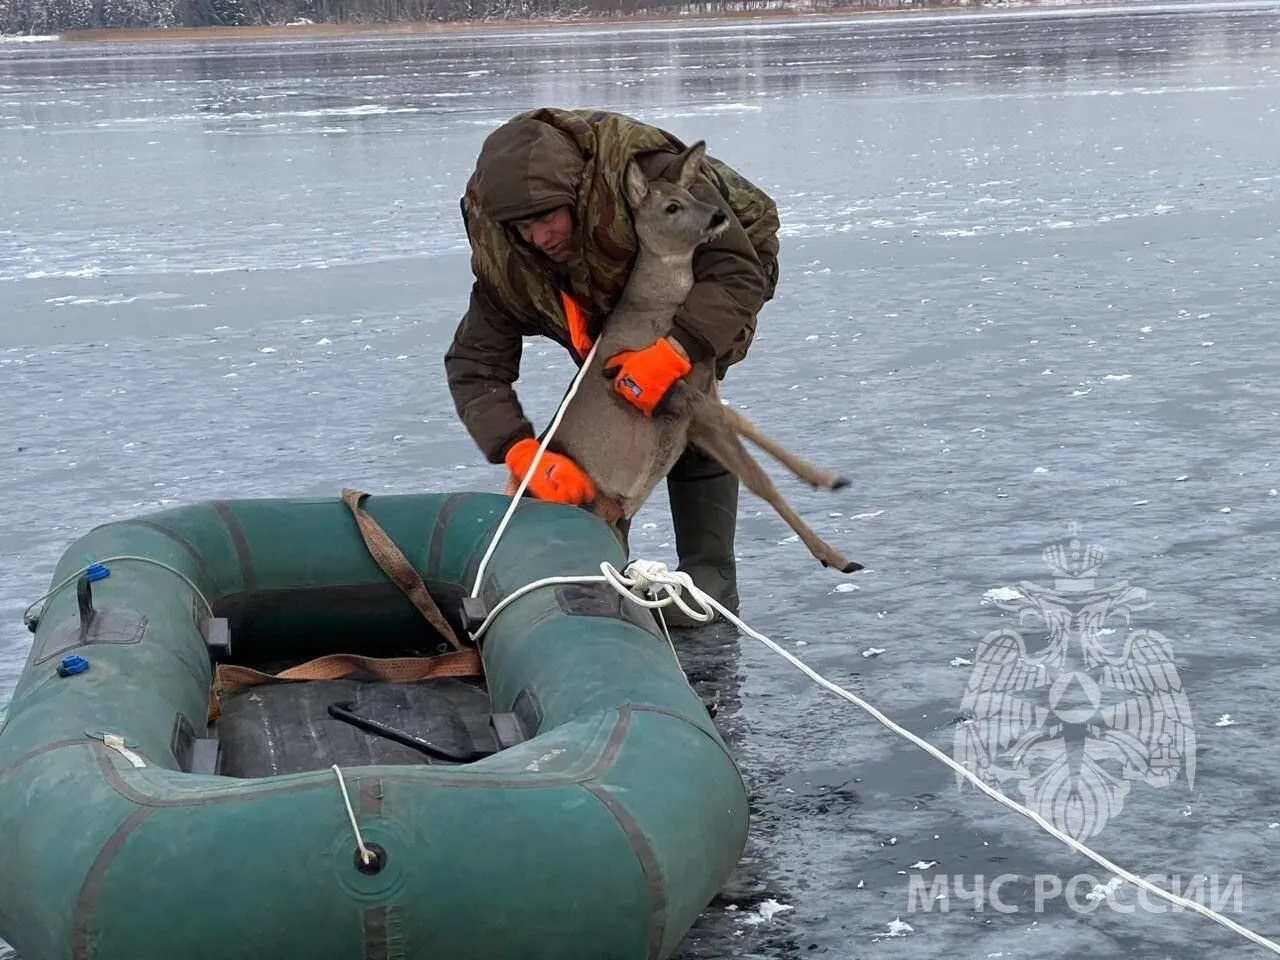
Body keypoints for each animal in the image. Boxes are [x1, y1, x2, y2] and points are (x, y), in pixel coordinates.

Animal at [542, 140, 855, 576]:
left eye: (692, 194)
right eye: (672, 206)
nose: (718, 214)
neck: (657, 311)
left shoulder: (696, 404)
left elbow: (749, 447)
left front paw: (827, 485)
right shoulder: (678, 396)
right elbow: (754, 466)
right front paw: (835, 548)